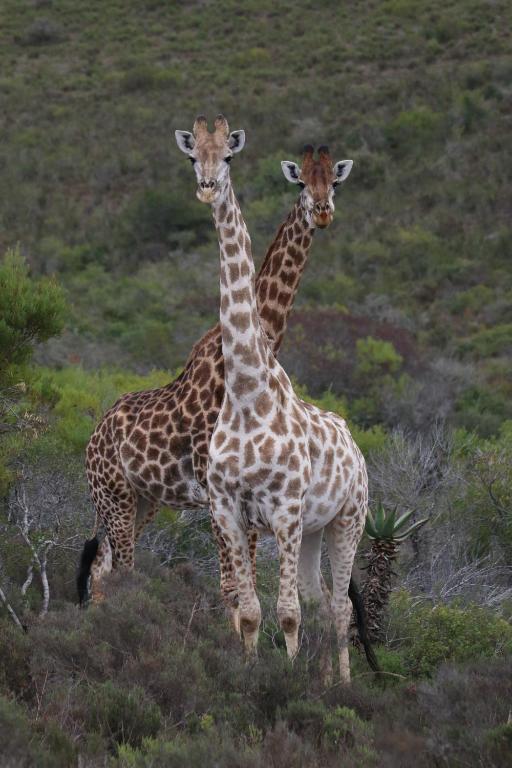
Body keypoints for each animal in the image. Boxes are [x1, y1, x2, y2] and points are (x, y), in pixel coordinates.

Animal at [78, 127, 353, 612]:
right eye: (301, 182)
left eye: (333, 183)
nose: (322, 212)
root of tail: (91, 440)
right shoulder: (214, 488)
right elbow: (232, 587)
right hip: (114, 495)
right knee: (120, 568)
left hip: (140, 500)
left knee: (101, 568)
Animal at [177, 115, 375, 683]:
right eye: (193, 156)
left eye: (229, 155)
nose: (208, 188)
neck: (246, 391)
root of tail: (355, 443)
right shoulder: (227, 509)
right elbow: (249, 609)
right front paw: (249, 677)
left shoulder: (284, 510)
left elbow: (286, 613)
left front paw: (288, 682)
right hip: (311, 531)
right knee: (321, 598)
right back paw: (328, 679)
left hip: (347, 518)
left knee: (337, 604)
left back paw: (342, 686)